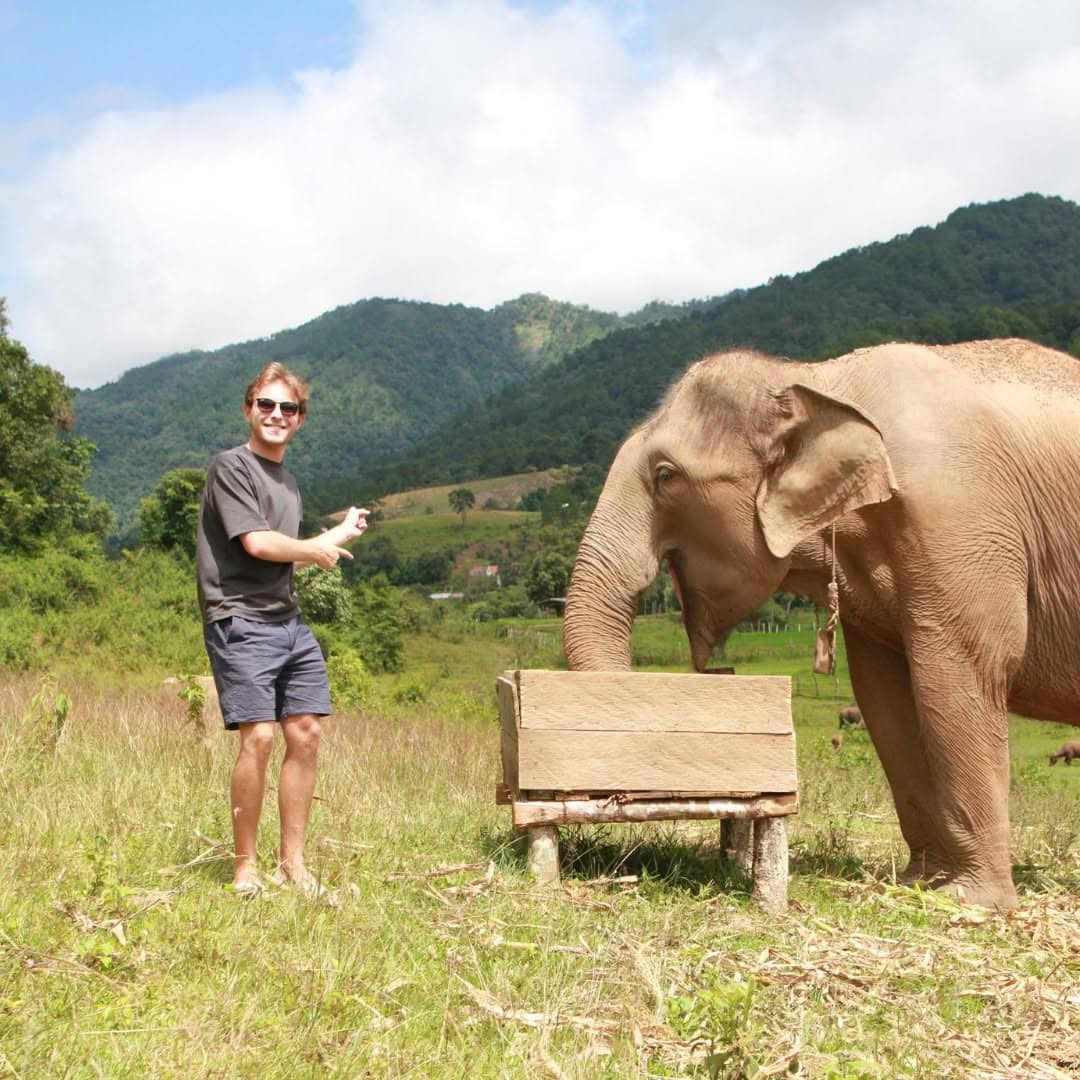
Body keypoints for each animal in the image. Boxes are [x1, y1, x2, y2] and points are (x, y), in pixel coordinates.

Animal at [563, 339, 1080, 910]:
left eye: (665, 475)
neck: (818, 379)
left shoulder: (960, 518)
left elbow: (965, 670)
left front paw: (971, 901)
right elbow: (883, 696)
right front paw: (920, 883)